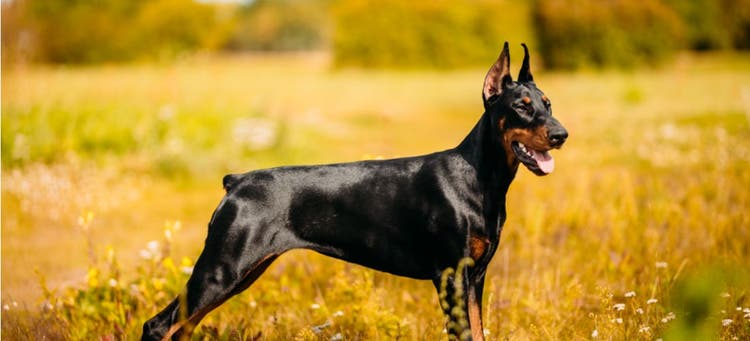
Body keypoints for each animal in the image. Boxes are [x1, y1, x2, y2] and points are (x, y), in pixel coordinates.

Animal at [142, 42, 568, 340]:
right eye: (521, 106)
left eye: (548, 103)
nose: (561, 134)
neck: (478, 176)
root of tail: (236, 181)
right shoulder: (451, 277)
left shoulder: (475, 277)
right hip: (222, 269)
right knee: (159, 326)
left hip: (243, 271)